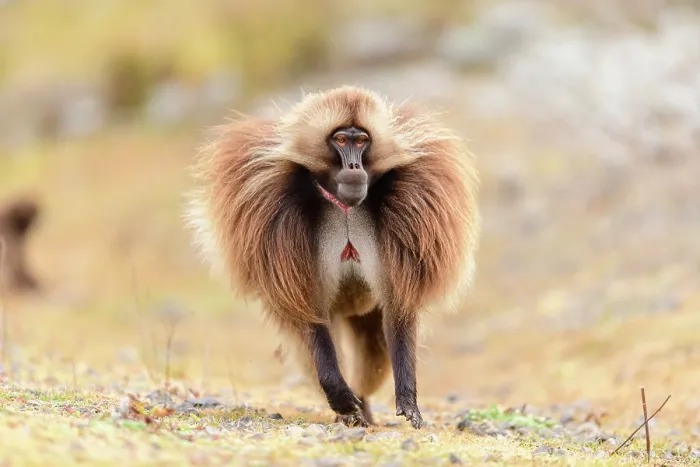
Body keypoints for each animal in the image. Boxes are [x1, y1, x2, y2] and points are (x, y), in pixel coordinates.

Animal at [186, 86, 480, 429]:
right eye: (340, 140)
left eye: (361, 140)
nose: (354, 167)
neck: (346, 208)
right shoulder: (275, 219)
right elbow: (311, 314)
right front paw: (340, 398)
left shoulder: (411, 216)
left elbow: (398, 309)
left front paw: (408, 402)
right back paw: (349, 410)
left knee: (375, 347)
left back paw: (363, 407)